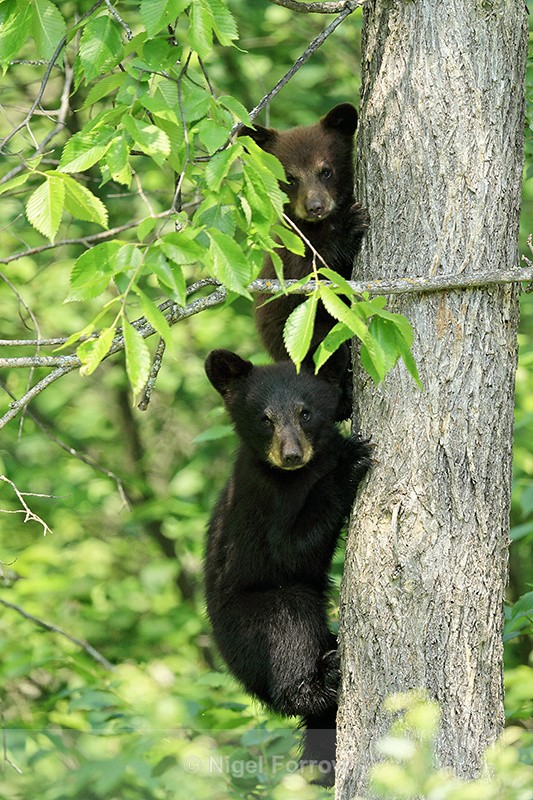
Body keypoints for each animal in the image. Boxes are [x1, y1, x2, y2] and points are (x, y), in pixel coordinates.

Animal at [204, 348, 372, 785]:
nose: (292, 455)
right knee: (289, 626)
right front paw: (348, 461)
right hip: (255, 620)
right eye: (265, 418)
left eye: (305, 412)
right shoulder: (267, 500)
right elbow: (292, 550)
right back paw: (322, 680)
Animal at [238, 103, 369, 364]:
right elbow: (310, 275)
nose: (315, 207)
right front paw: (350, 227)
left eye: (326, 171)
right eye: (290, 178)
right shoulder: (293, 251)